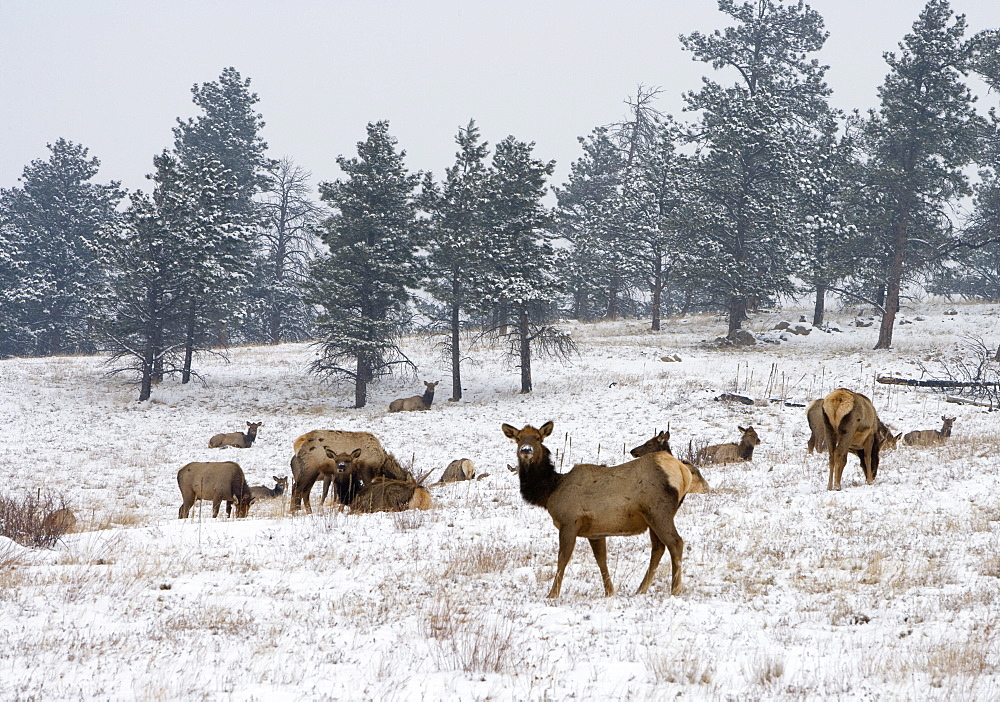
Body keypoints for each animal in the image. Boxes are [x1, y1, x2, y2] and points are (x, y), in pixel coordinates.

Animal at [504, 420, 708, 604]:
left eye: (538, 438)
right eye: (518, 439)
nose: (526, 450)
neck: (550, 490)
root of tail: (683, 471)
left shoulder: (569, 522)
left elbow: (563, 558)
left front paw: (552, 594)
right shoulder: (595, 531)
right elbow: (601, 560)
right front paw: (610, 592)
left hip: (659, 512)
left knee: (676, 543)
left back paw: (675, 589)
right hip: (652, 518)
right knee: (658, 547)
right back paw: (641, 589)